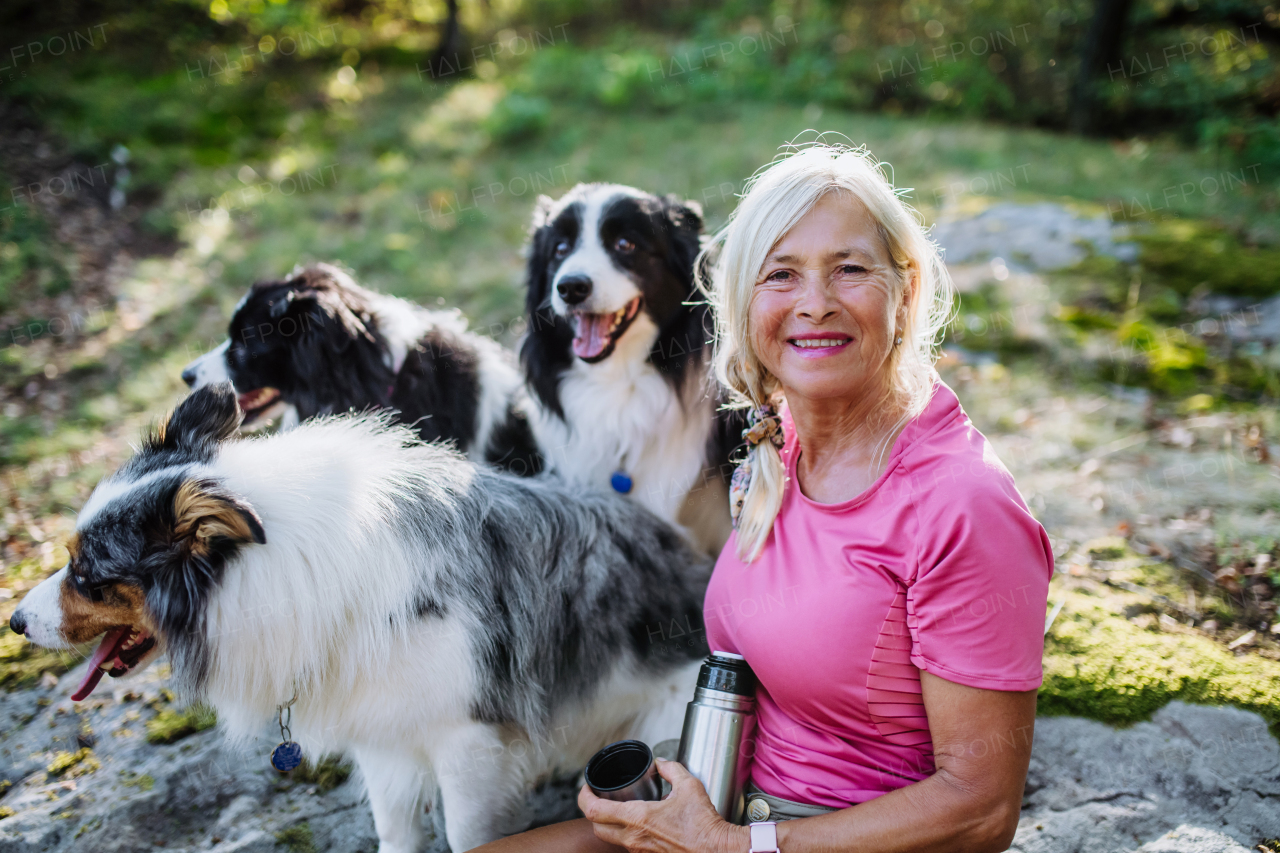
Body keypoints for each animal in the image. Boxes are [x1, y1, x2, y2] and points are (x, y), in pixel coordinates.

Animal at [7, 384, 711, 850]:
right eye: (71, 560)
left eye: (87, 575)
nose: (13, 622)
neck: (292, 566)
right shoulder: (384, 737)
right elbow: (395, 834)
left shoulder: (468, 744)